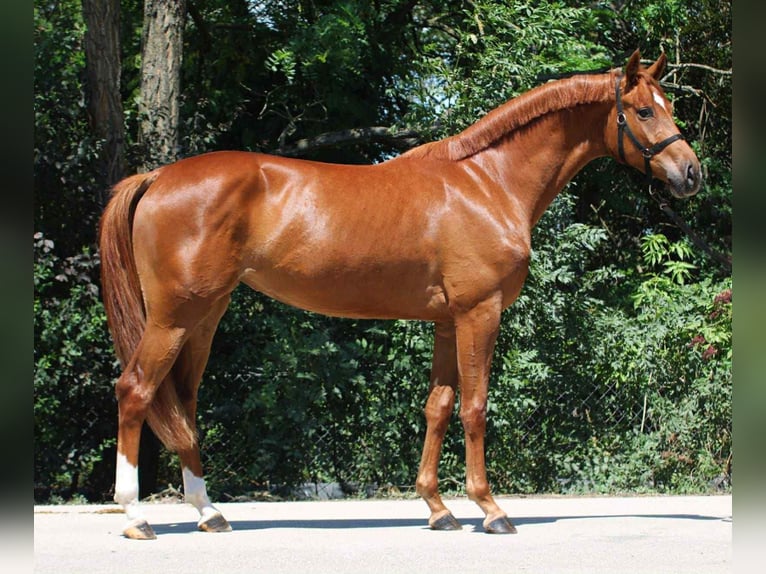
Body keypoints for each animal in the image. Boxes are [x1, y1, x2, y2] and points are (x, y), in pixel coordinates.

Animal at [99, 50, 701, 539]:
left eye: (668, 104)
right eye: (643, 111)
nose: (691, 173)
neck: (488, 182)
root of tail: (157, 177)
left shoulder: (447, 320)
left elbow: (438, 406)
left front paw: (438, 509)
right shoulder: (479, 314)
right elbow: (475, 407)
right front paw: (490, 510)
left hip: (204, 316)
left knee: (182, 401)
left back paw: (209, 512)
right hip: (174, 317)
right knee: (135, 390)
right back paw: (136, 516)